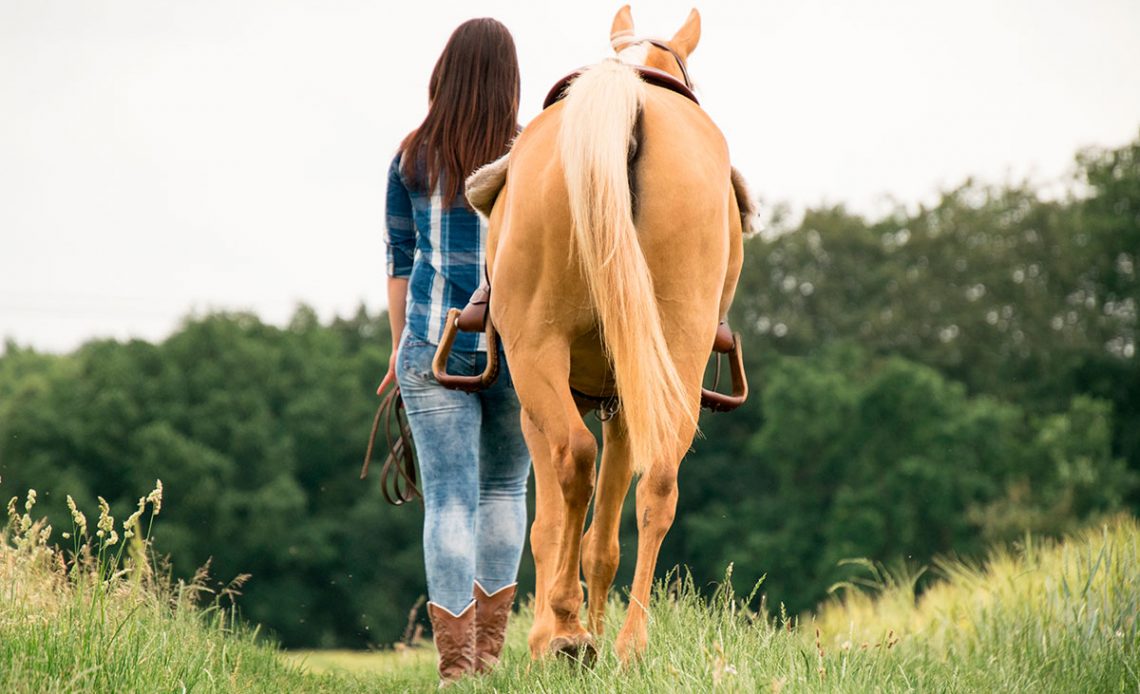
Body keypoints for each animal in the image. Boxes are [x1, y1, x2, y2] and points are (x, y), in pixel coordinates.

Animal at [449, 5, 752, 660]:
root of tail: (624, 97)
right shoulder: (624, 402)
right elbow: (603, 539)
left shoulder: (534, 405)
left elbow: (550, 526)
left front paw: (552, 631)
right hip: (671, 352)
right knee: (659, 479)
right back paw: (629, 643)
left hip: (539, 355)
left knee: (574, 458)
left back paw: (566, 630)